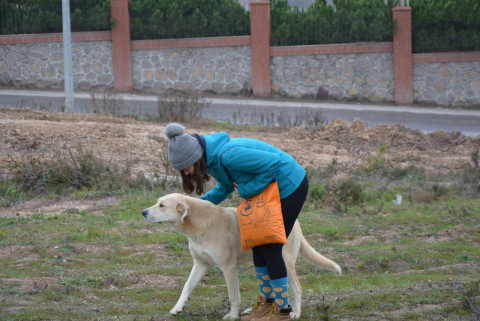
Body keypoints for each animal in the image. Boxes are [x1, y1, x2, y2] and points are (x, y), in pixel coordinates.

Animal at [142, 194, 342, 318]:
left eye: (162, 205)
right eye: (157, 202)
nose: (143, 212)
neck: (199, 224)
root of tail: (296, 222)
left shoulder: (228, 267)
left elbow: (233, 295)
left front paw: (232, 315)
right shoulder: (200, 264)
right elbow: (187, 286)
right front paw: (177, 308)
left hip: (284, 262)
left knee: (297, 288)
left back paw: (295, 313)